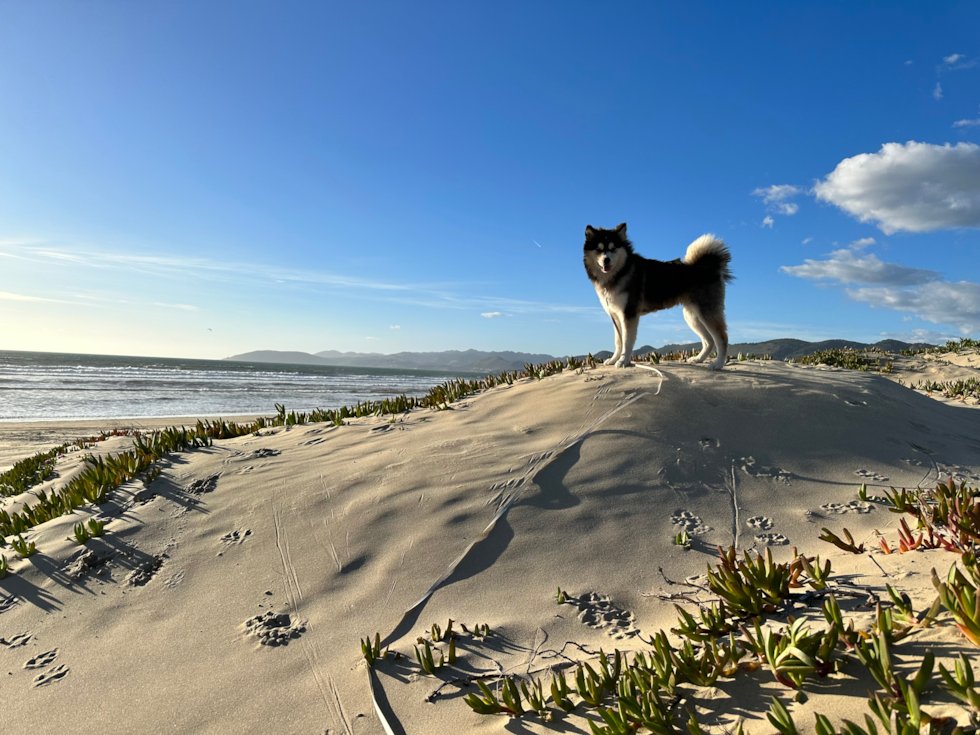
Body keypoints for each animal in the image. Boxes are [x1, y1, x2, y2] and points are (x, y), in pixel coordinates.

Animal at [580, 221, 736, 370]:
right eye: (599, 250)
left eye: (613, 249)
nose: (606, 260)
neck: (620, 272)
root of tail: (709, 267)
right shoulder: (616, 316)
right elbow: (618, 342)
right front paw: (614, 360)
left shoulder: (629, 314)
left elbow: (626, 342)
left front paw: (623, 361)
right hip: (692, 316)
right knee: (709, 340)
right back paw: (699, 359)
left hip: (707, 313)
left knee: (722, 338)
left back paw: (718, 364)